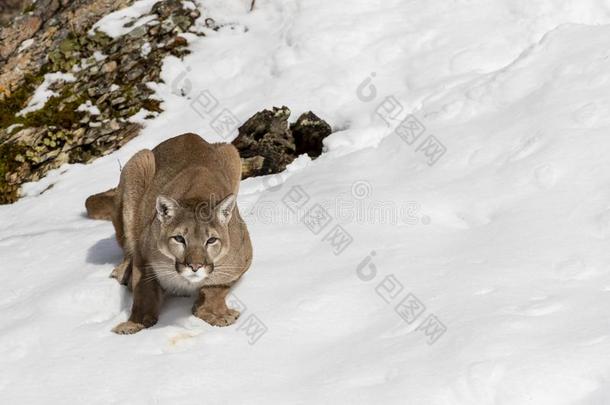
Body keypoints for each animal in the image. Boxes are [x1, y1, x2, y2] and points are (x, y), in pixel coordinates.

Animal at [84, 134, 251, 332]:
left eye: (211, 240)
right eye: (179, 239)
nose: (195, 266)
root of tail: (187, 135)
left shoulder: (241, 260)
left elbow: (216, 286)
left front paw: (213, 313)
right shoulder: (144, 255)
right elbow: (144, 292)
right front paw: (134, 323)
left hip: (231, 152)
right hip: (139, 162)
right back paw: (123, 271)